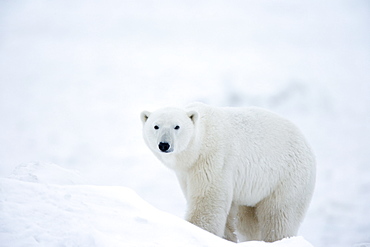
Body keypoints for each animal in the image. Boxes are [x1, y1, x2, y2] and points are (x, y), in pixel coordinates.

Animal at [140, 102, 316, 241]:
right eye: (156, 126)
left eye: (177, 126)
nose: (164, 144)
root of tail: (307, 145)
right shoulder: (186, 172)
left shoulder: (214, 159)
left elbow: (207, 201)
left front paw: (199, 231)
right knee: (248, 220)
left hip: (287, 178)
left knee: (279, 216)